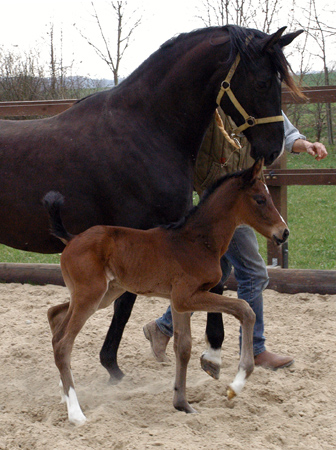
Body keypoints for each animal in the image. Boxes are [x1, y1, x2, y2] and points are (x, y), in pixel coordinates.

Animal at [0, 25, 304, 380]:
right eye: (262, 82)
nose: (272, 149)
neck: (148, 129)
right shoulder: (137, 233)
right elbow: (127, 301)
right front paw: (112, 364)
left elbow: (214, 282)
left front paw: (211, 353)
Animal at [42, 159, 288, 426]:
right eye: (260, 199)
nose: (283, 232)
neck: (198, 242)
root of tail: (72, 238)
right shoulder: (186, 297)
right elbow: (245, 309)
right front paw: (236, 385)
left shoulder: (179, 302)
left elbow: (184, 348)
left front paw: (182, 404)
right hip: (91, 295)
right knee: (63, 343)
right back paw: (76, 413)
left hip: (104, 293)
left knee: (55, 316)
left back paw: (64, 394)